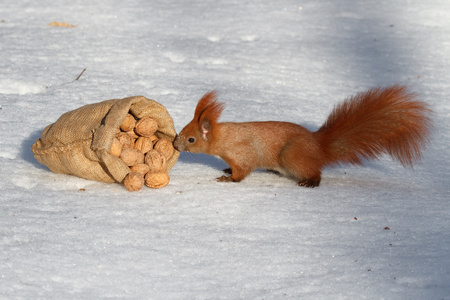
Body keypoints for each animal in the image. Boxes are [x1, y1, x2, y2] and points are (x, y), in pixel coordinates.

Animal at [173, 85, 432, 188]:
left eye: (191, 139)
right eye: (182, 131)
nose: (175, 144)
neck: (222, 138)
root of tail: (319, 147)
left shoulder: (242, 152)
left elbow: (243, 170)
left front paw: (229, 179)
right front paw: (226, 170)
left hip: (292, 156)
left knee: (315, 172)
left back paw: (310, 182)